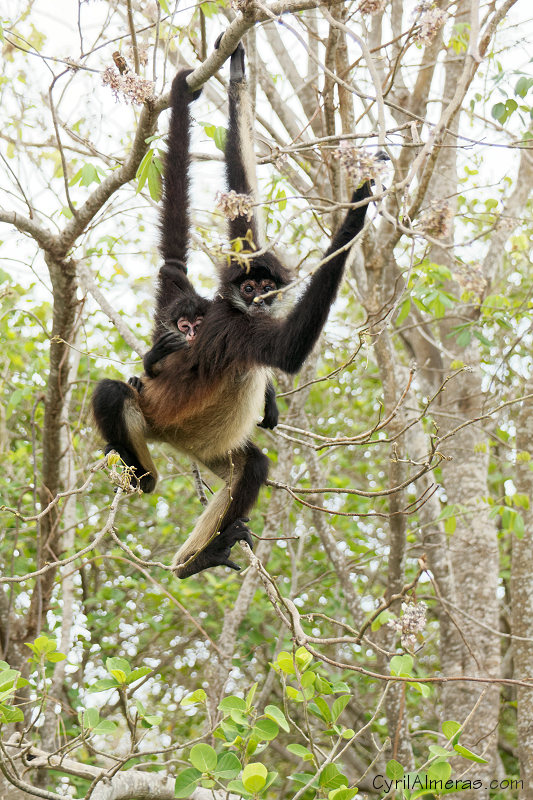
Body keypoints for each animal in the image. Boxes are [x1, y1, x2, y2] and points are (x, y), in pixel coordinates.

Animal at [91, 40, 372, 580]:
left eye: (267, 284)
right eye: (251, 285)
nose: (258, 296)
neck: (235, 309)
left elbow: (243, 222)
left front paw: (239, 74)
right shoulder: (235, 328)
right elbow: (285, 351)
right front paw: (355, 214)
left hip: (199, 441)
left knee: (250, 466)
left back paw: (192, 561)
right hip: (156, 419)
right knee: (112, 391)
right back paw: (153, 492)